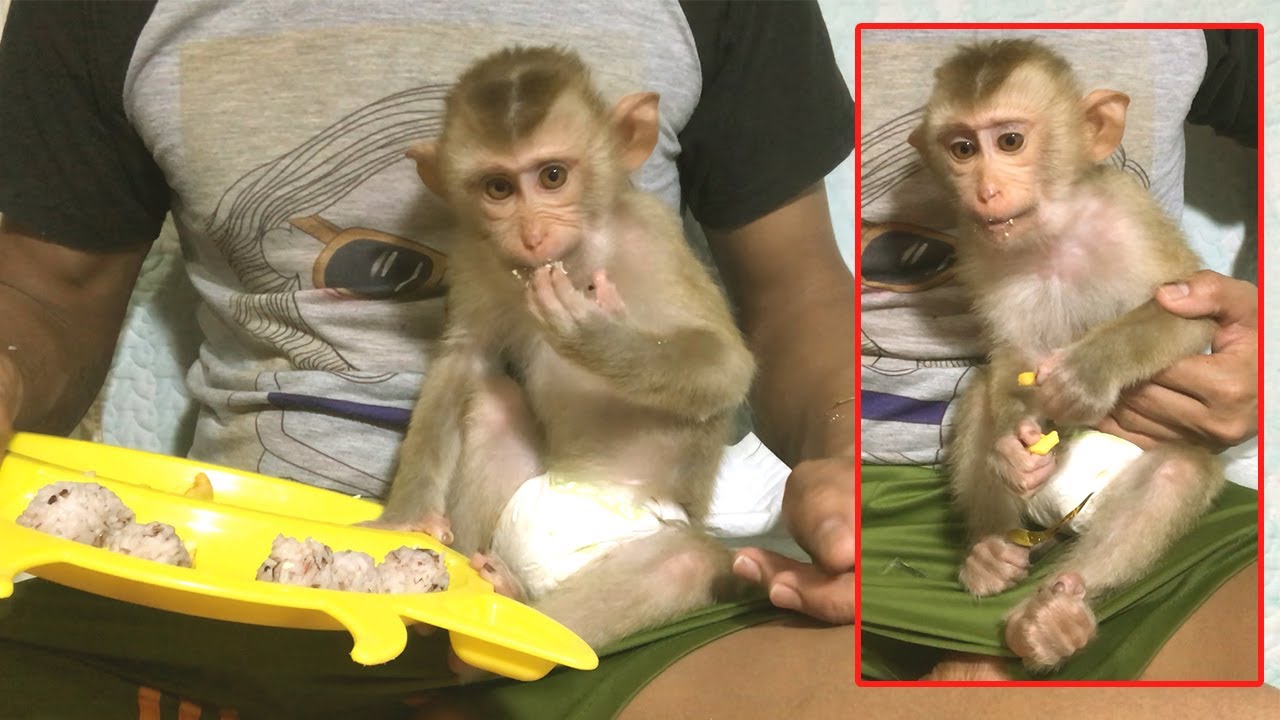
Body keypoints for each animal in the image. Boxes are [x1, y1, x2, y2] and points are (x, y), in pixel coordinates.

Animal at [368, 46, 758, 656]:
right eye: (498, 188)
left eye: (553, 176)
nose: (531, 234)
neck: (576, 259)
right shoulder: (478, 256)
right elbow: (463, 361)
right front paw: (407, 515)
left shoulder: (654, 237)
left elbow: (726, 367)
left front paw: (590, 332)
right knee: (493, 401)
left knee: (683, 566)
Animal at [906, 38, 1226, 673]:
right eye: (962, 149)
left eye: (1009, 141)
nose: (985, 190)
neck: (1053, 233)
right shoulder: (980, 246)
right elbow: (1011, 354)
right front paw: (1014, 451)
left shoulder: (1129, 213)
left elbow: (1185, 315)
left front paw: (1084, 375)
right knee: (980, 393)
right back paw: (989, 552)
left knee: (1178, 470)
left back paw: (1054, 620)